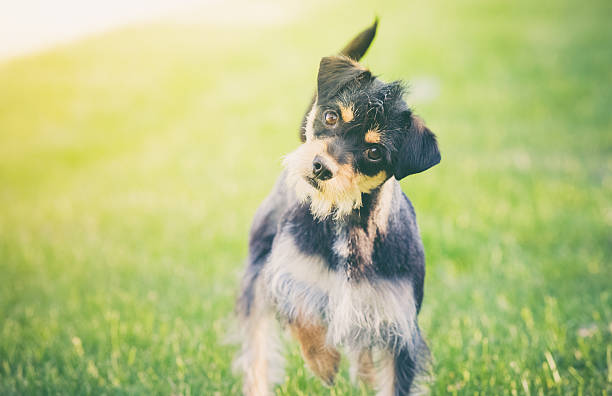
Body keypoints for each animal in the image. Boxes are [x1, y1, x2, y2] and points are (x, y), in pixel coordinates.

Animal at [234, 21, 440, 396]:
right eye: (330, 116)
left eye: (374, 152)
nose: (320, 167)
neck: (347, 223)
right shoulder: (285, 275)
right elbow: (304, 317)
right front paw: (323, 361)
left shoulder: (398, 327)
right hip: (258, 271)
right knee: (257, 351)